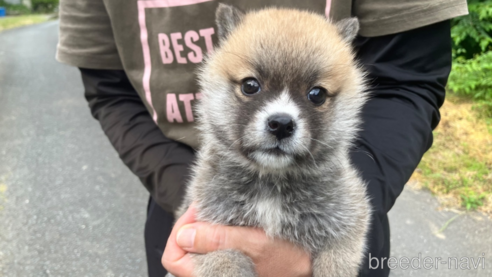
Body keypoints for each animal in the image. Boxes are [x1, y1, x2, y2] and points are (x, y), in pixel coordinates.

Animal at [168, 4, 368, 276]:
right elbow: (225, 264)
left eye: (317, 94)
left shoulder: (349, 223)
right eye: (250, 85)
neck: (271, 186)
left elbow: (336, 263)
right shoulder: (207, 233)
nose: (281, 124)